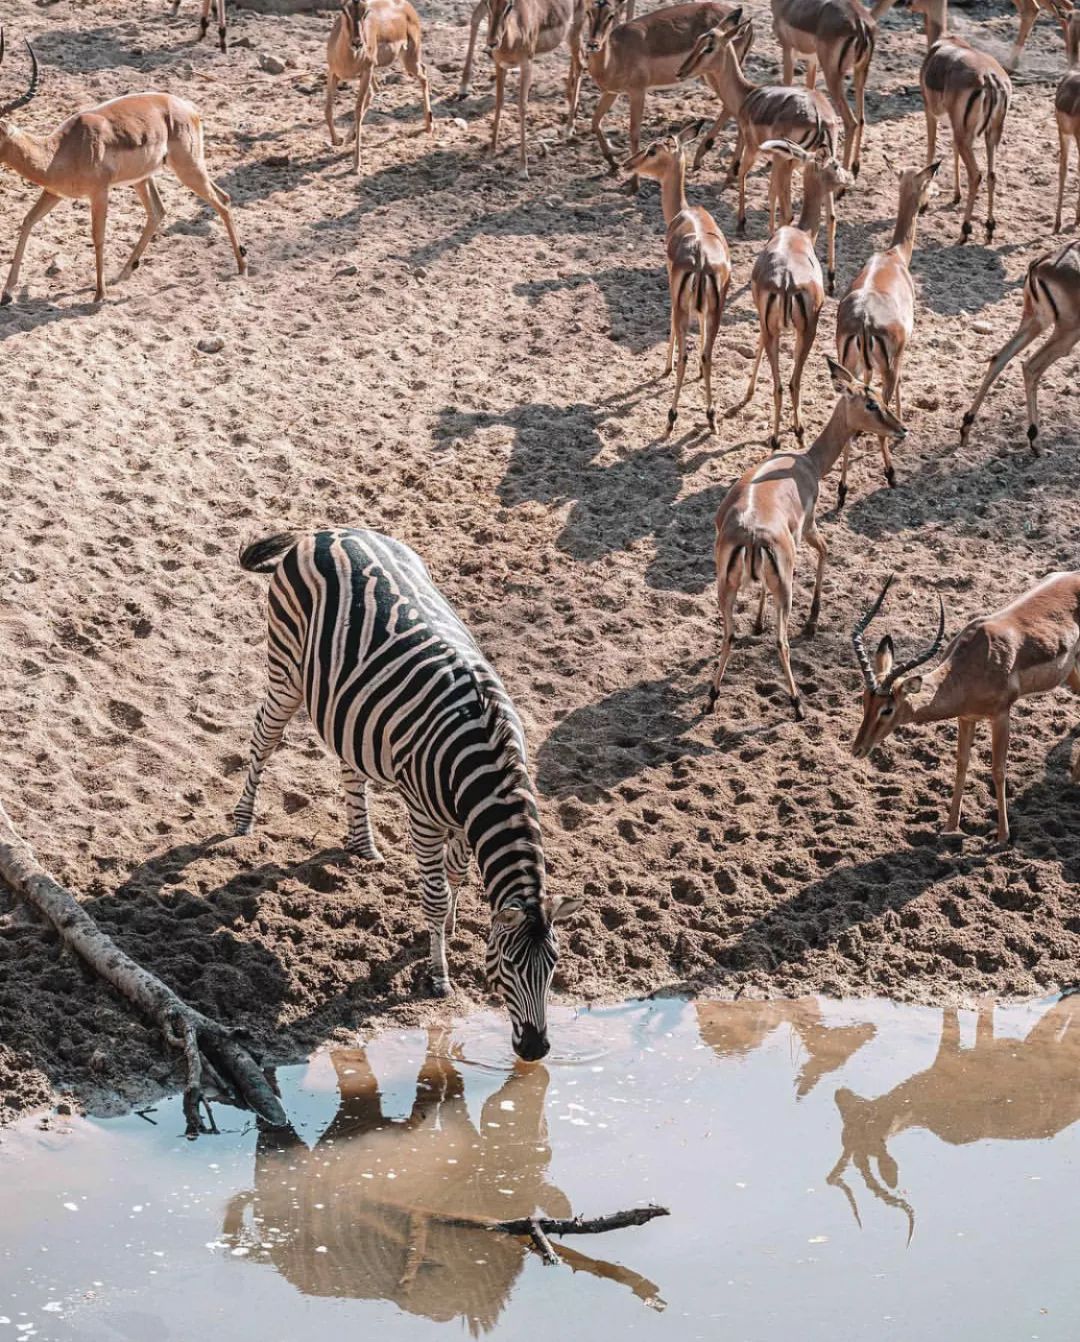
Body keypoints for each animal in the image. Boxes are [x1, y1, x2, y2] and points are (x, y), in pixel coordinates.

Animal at [229, 528, 582, 1062]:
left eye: (555, 965)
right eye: (509, 965)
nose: (537, 1050)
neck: (486, 768)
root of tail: (327, 530)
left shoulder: (463, 823)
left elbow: (456, 877)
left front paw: (451, 928)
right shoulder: (425, 817)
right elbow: (434, 895)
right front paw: (439, 974)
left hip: (349, 707)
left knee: (349, 764)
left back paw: (363, 843)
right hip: (285, 668)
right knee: (262, 739)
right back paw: (242, 819)